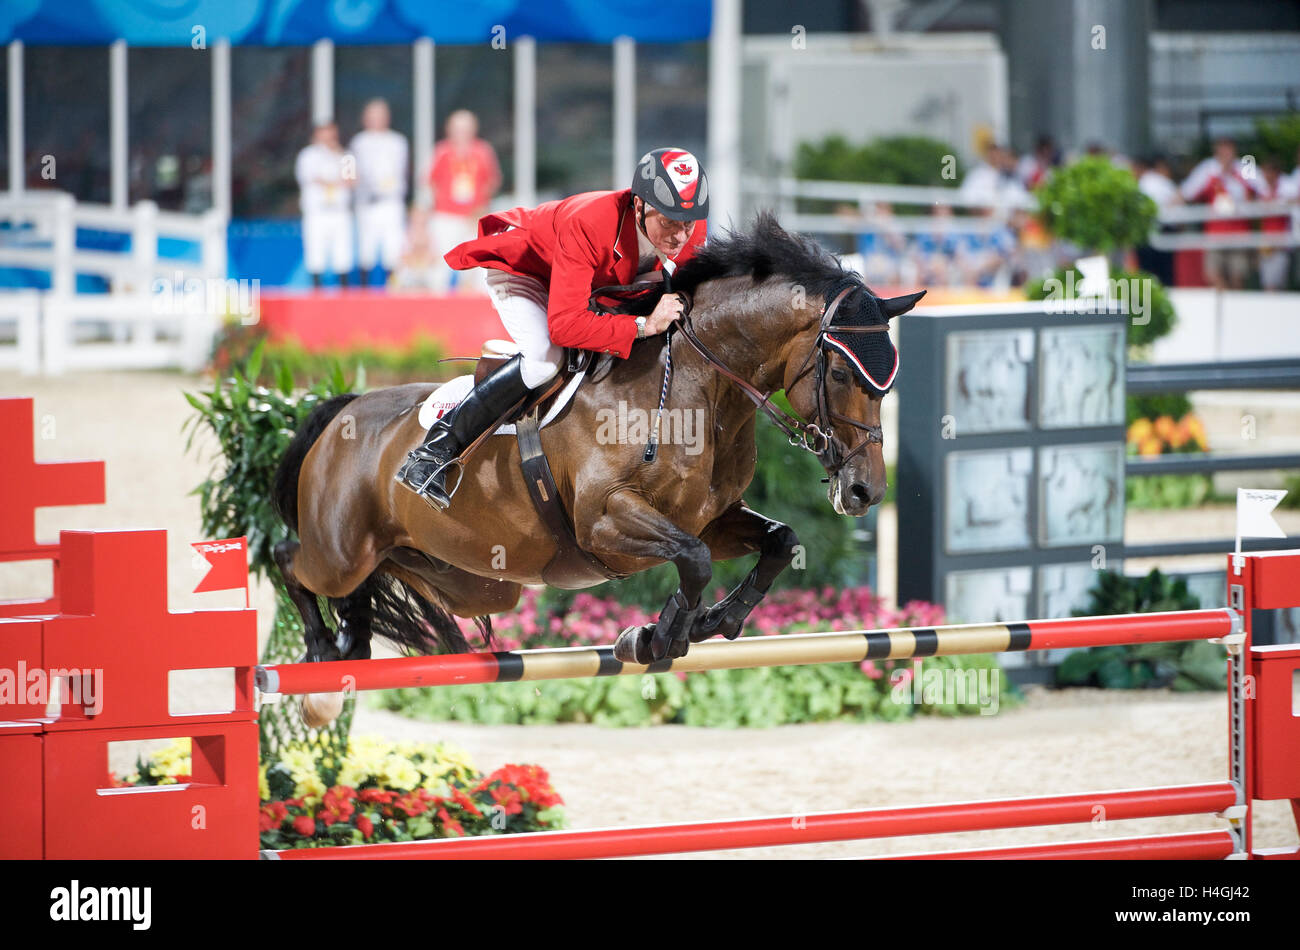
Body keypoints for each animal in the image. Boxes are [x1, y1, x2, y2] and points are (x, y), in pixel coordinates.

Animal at [271, 211, 925, 722]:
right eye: (838, 372)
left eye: (889, 378)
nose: (865, 492)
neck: (696, 386)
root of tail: (342, 410)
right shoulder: (604, 520)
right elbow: (693, 559)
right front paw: (659, 637)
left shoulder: (710, 517)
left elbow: (778, 542)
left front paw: (710, 624)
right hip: (341, 551)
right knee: (287, 557)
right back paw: (322, 646)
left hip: (467, 580)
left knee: (366, 585)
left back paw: (349, 641)